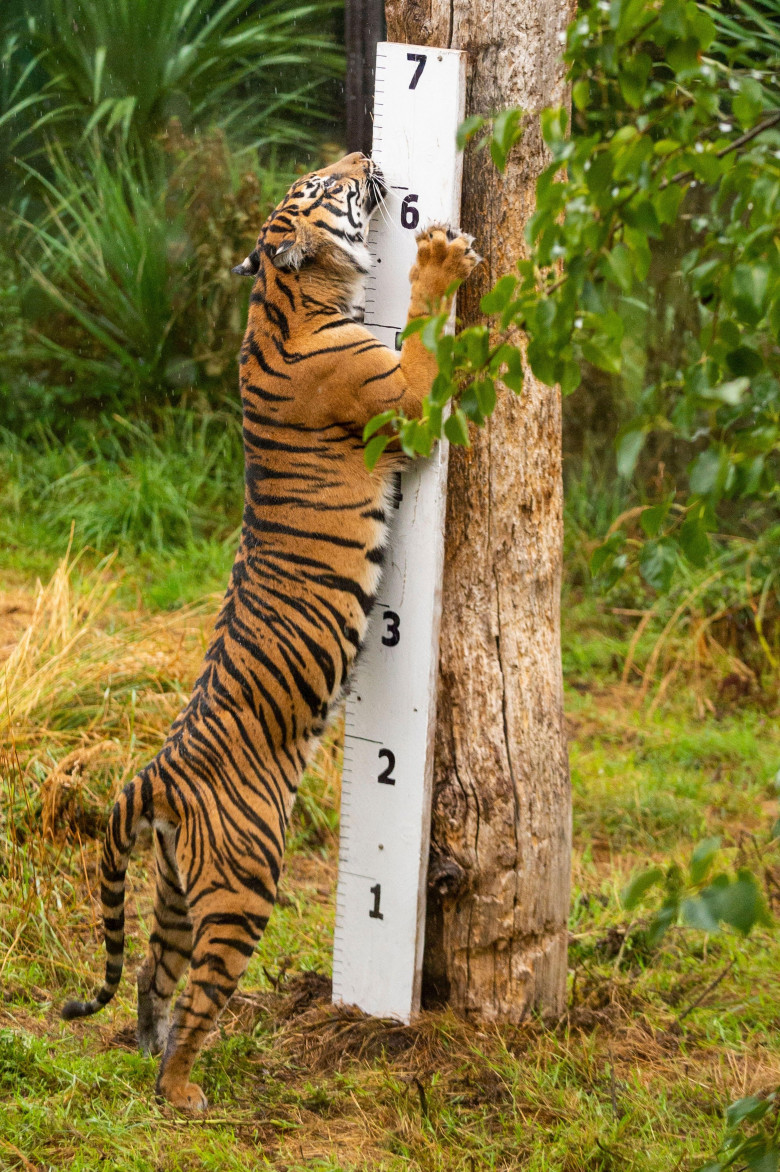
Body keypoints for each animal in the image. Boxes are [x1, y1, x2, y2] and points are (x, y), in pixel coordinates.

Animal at [60, 148, 477, 1106]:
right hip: (244, 885)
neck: (285, 298)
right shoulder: (404, 397)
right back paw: (182, 1090)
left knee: (151, 973)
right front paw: (438, 258)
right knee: (198, 1000)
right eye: (324, 186)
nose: (363, 156)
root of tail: (154, 776)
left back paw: (146, 1054)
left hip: (179, 891)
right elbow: (425, 334)